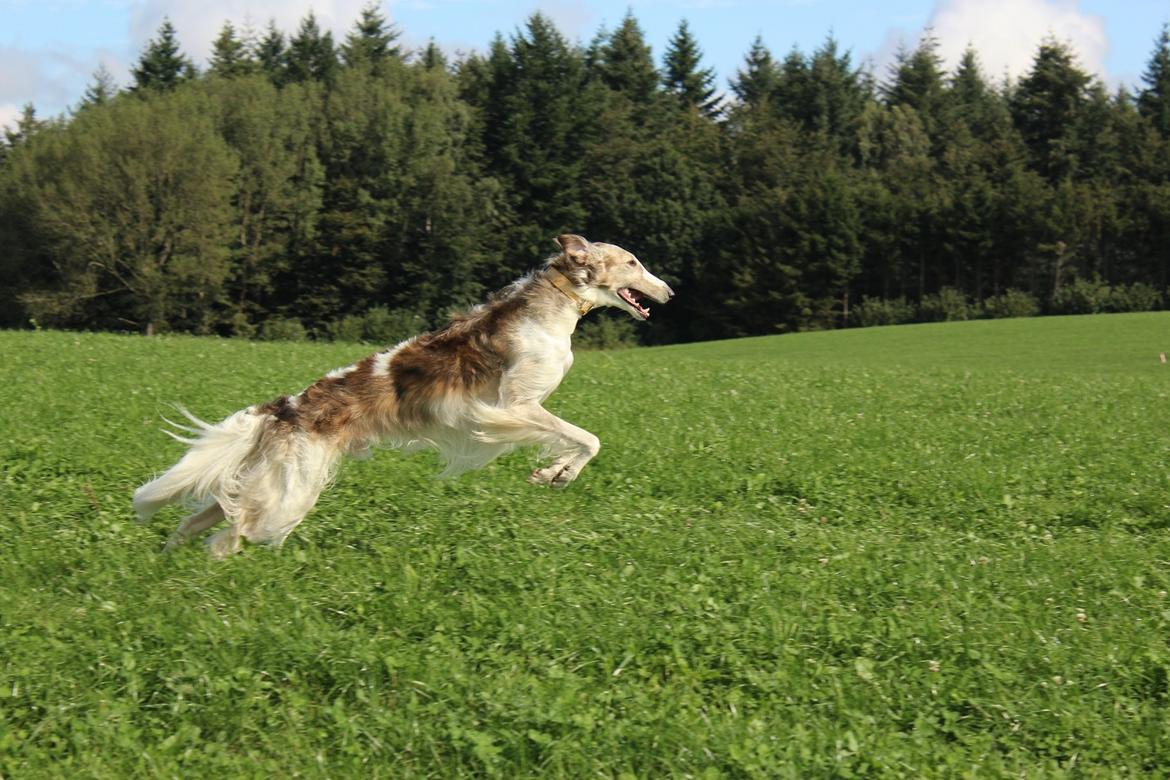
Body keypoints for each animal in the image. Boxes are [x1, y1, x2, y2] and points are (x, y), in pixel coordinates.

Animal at [132, 235, 673, 558]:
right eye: (632, 262)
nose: (669, 292)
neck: (555, 304)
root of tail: (285, 407)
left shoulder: (518, 411)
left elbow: (579, 440)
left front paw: (556, 472)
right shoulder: (512, 408)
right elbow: (586, 438)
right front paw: (558, 472)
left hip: (272, 481)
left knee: (203, 516)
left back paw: (164, 562)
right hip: (290, 494)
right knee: (232, 531)